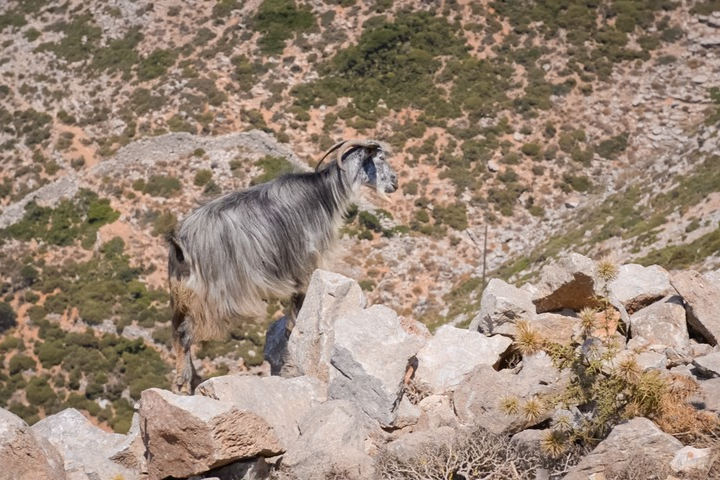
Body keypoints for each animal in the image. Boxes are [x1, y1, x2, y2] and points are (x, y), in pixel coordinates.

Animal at [167, 139, 399, 394]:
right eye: (381, 159)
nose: (395, 182)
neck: (323, 193)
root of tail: (180, 244)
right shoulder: (304, 264)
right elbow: (295, 311)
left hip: (181, 297)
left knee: (177, 330)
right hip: (211, 298)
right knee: (185, 333)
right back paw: (183, 385)